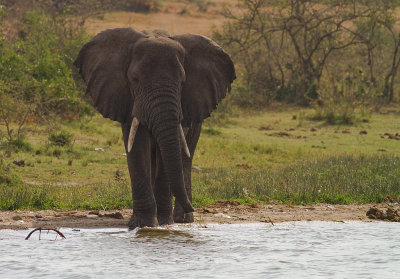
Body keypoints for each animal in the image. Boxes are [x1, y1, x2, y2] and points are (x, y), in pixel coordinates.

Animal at [74, 27, 234, 230]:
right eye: (134, 79)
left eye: (182, 82)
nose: (195, 208)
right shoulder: (128, 99)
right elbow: (136, 147)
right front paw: (143, 224)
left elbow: (167, 152)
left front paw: (164, 223)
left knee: (185, 158)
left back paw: (182, 218)